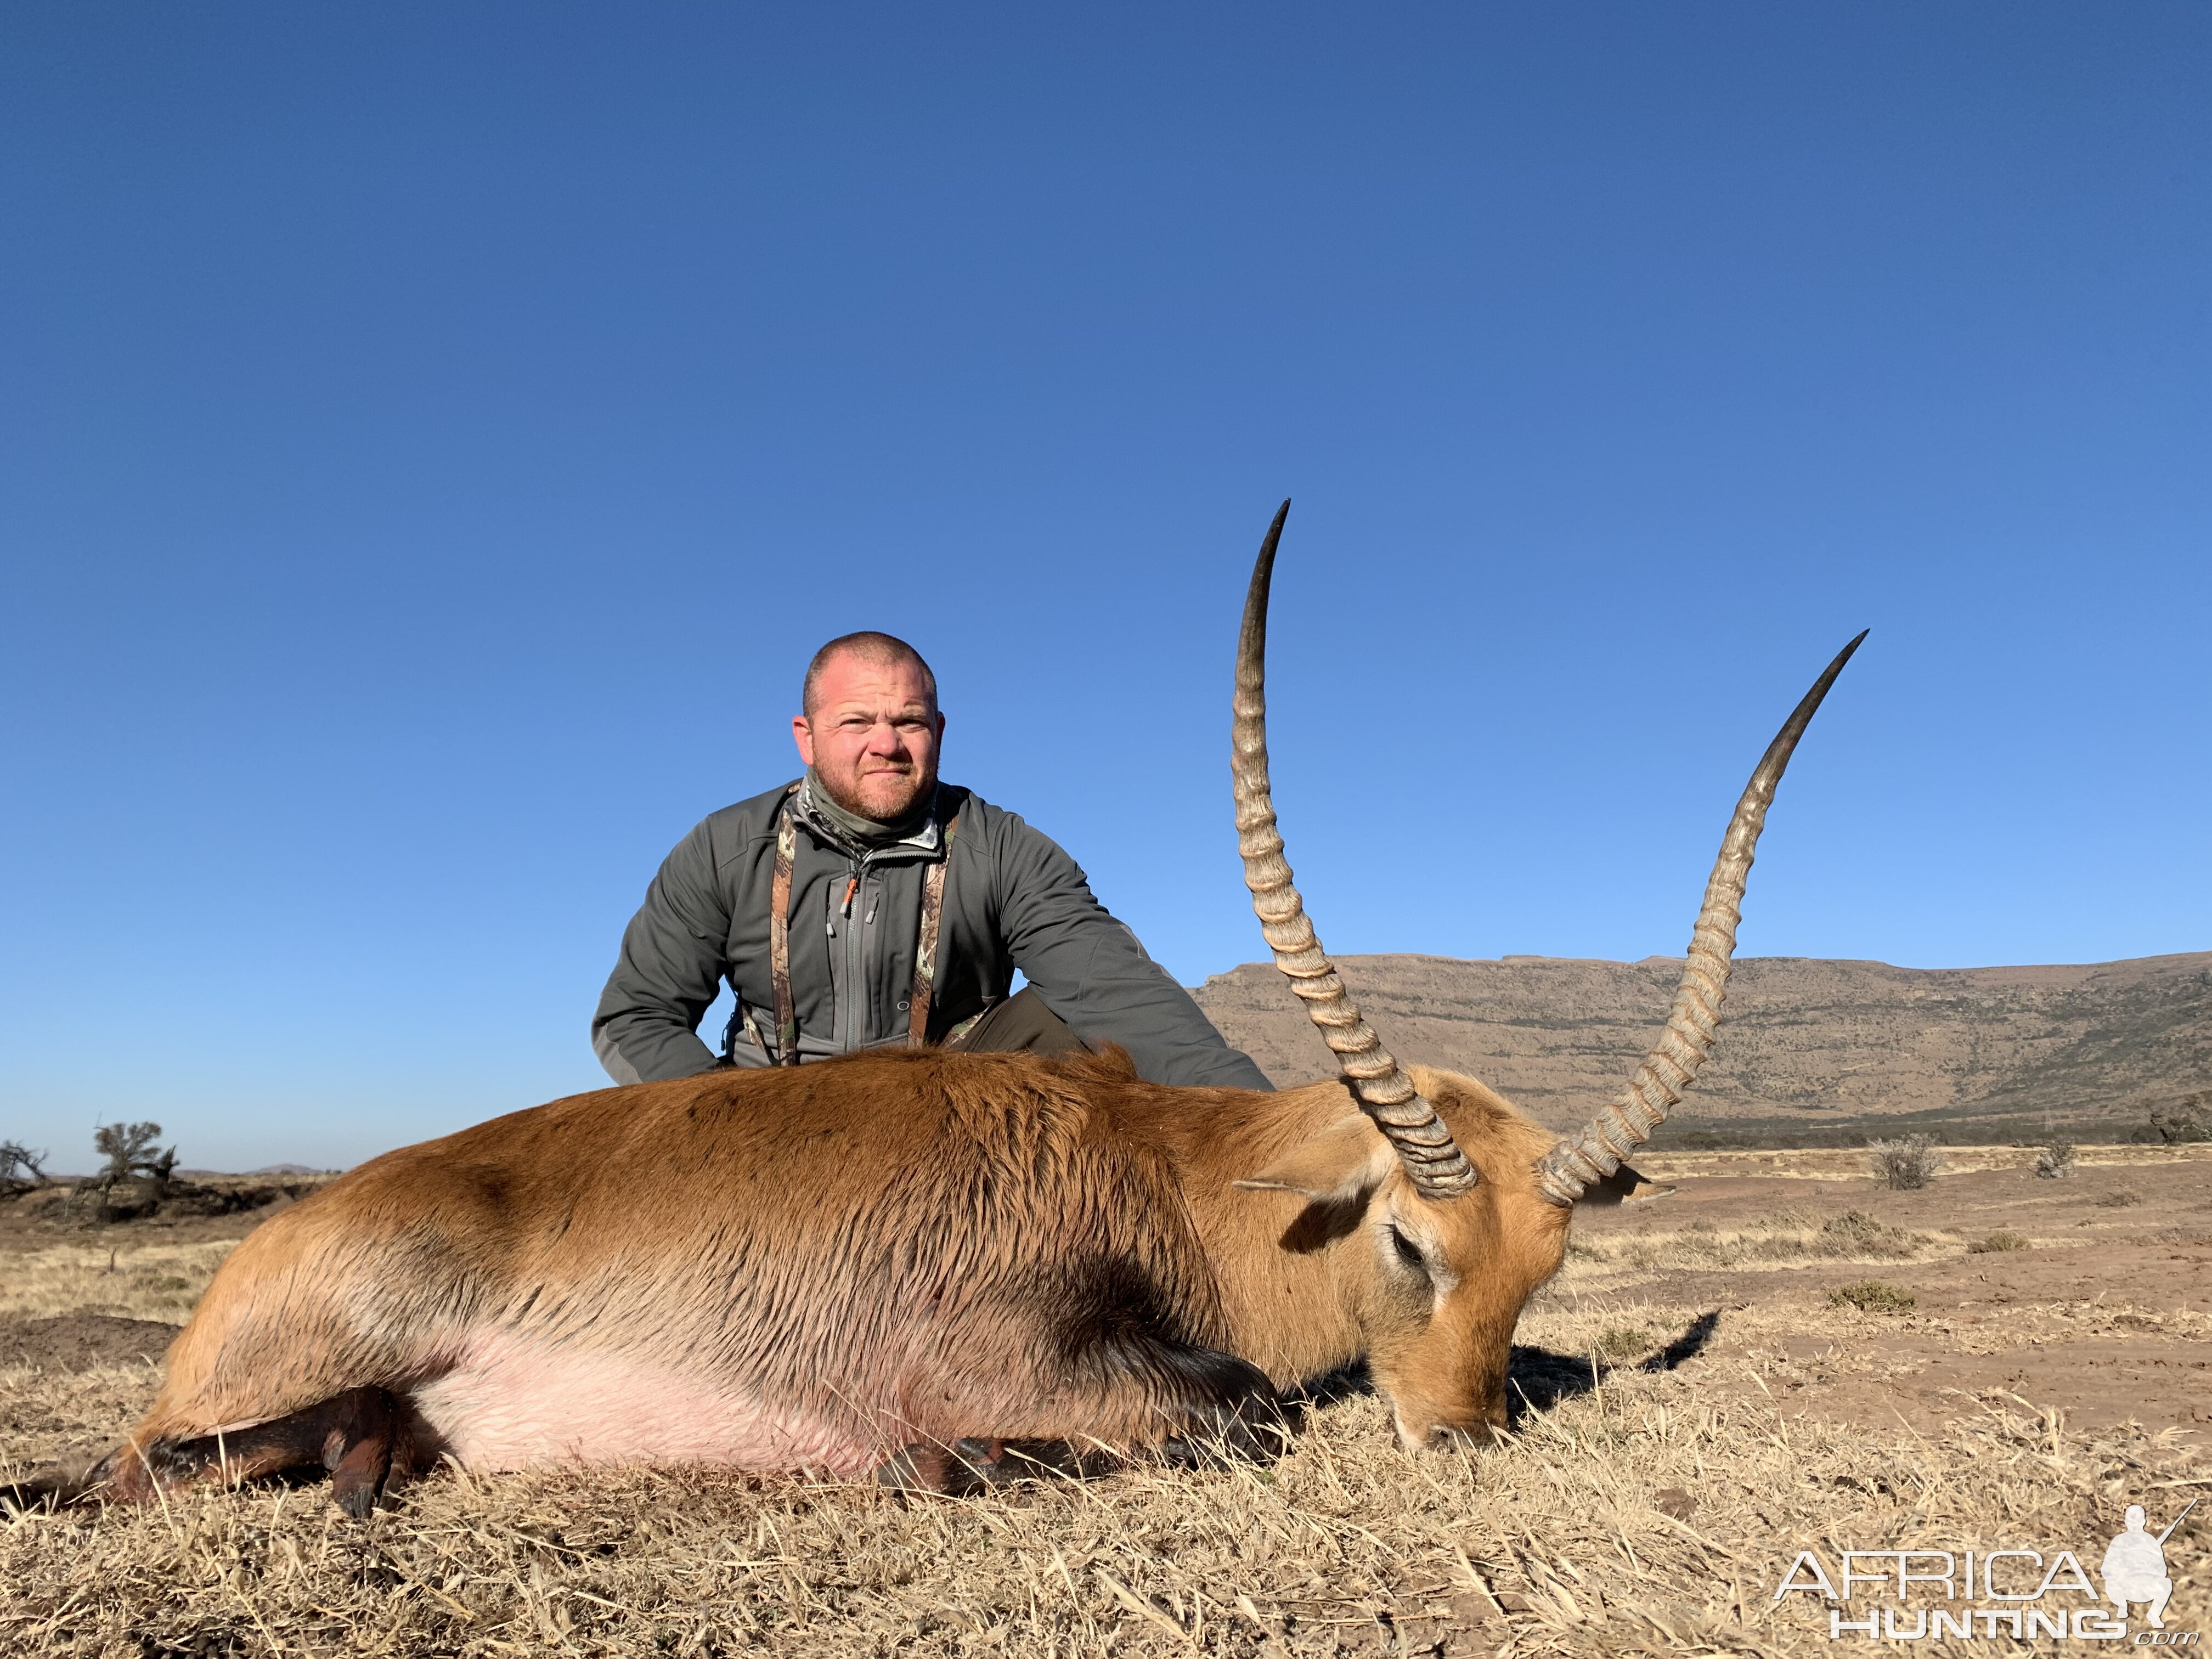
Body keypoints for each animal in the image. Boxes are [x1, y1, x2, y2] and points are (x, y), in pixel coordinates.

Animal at [78, 500, 1858, 1513]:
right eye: (1414, 1245)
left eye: (1542, 1270)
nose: (1462, 1435)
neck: (1166, 1176)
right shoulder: (1018, 1354)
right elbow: (1230, 1413)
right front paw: (954, 1461)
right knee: (143, 1464)